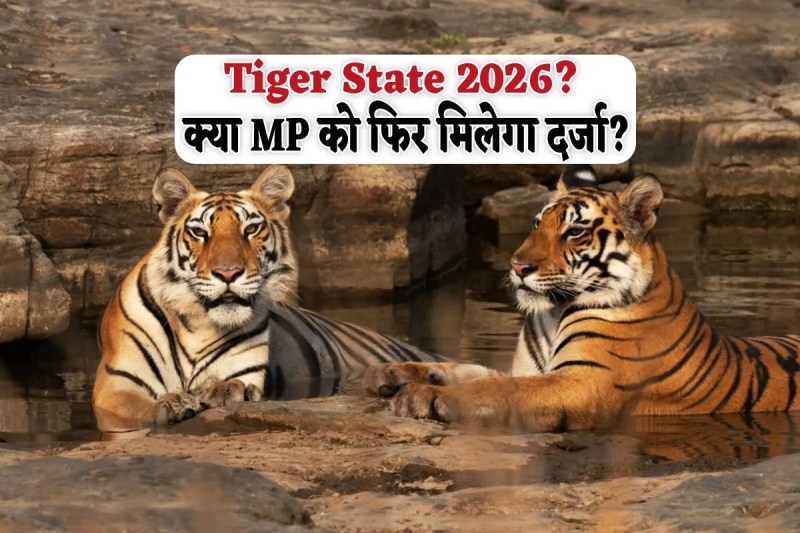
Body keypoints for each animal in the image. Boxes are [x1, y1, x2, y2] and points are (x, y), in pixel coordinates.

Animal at [93, 165, 444, 433]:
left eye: (250, 230)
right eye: (200, 233)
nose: (228, 273)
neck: (199, 323)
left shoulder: (245, 368)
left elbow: (235, 383)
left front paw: (227, 391)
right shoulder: (115, 386)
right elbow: (135, 406)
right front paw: (174, 402)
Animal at [365, 165, 800, 432]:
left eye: (574, 232)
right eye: (537, 223)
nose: (517, 265)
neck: (552, 313)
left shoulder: (582, 383)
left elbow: (491, 389)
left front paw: (421, 397)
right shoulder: (532, 370)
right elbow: (466, 368)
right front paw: (393, 371)